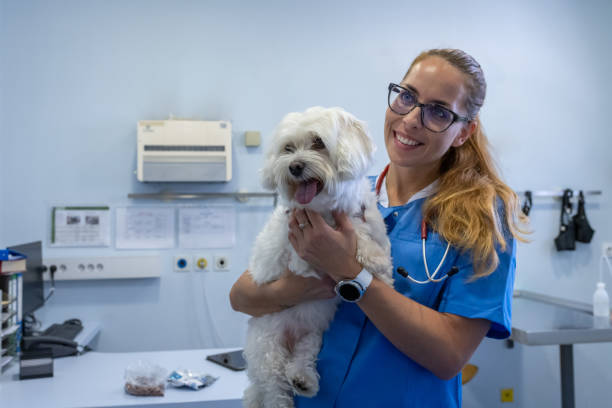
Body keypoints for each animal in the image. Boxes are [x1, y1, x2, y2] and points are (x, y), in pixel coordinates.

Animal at [243, 106, 392, 408]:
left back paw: (305, 380)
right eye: (288, 148)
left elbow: (373, 236)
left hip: (313, 334)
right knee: (274, 386)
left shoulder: (369, 221)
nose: (294, 166)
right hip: (266, 346)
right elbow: (354, 234)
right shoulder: (302, 255)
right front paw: (372, 256)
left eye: (318, 142)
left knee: (302, 357)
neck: (325, 210)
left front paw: (382, 267)